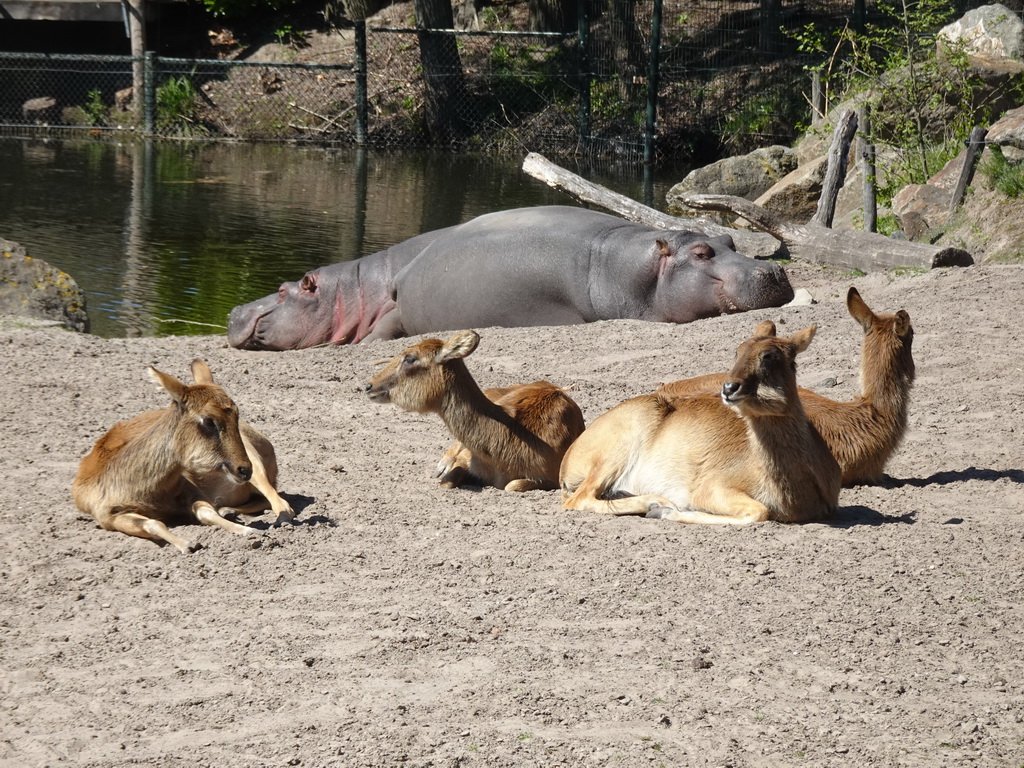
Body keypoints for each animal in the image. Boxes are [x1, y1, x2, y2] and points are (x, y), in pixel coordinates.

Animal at [72, 360, 292, 552]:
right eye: (209, 420)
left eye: (236, 415)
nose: (243, 470)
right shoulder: (109, 516)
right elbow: (154, 523)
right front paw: (188, 544)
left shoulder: (190, 489)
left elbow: (206, 512)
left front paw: (249, 530)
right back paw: (229, 510)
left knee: (279, 500)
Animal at [364, 331, 585, 493]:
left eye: (410, 358)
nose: (368, 385)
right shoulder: (467, 459)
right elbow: (446, 481)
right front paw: (442, 469)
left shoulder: (551, 476)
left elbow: (512, 485)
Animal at [561, 321, 839, 528]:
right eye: (738, 351)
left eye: (769, 356)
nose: (729, 388)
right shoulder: (709, 490)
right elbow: (759, 512)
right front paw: (664, 511)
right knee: (578, 499)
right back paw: (655, 503)